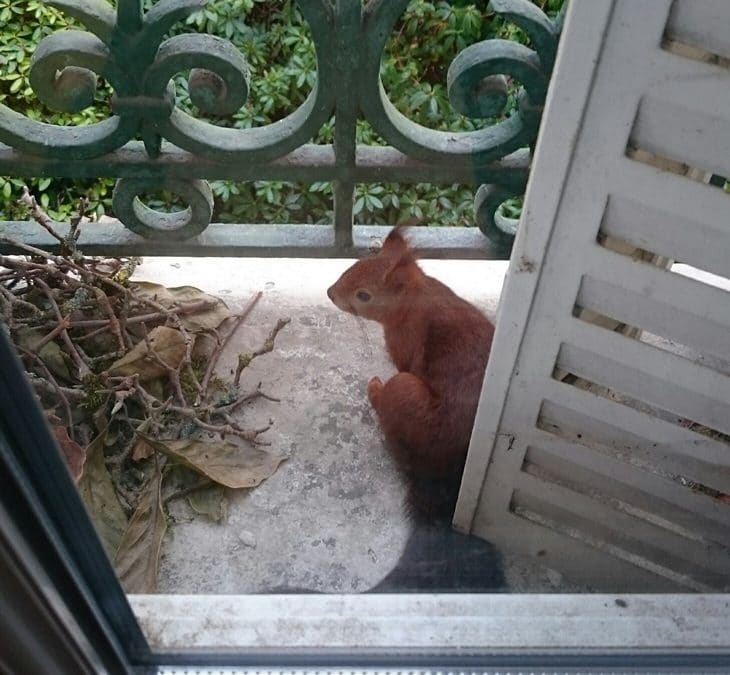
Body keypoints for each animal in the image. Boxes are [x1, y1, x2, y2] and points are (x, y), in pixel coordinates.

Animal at [326, 230, 492, 520]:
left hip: (403, 391)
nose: (330, 293)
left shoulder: (403, 342)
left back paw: (376, 391)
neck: (419, 297)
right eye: (356, 264)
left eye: (364, 296)